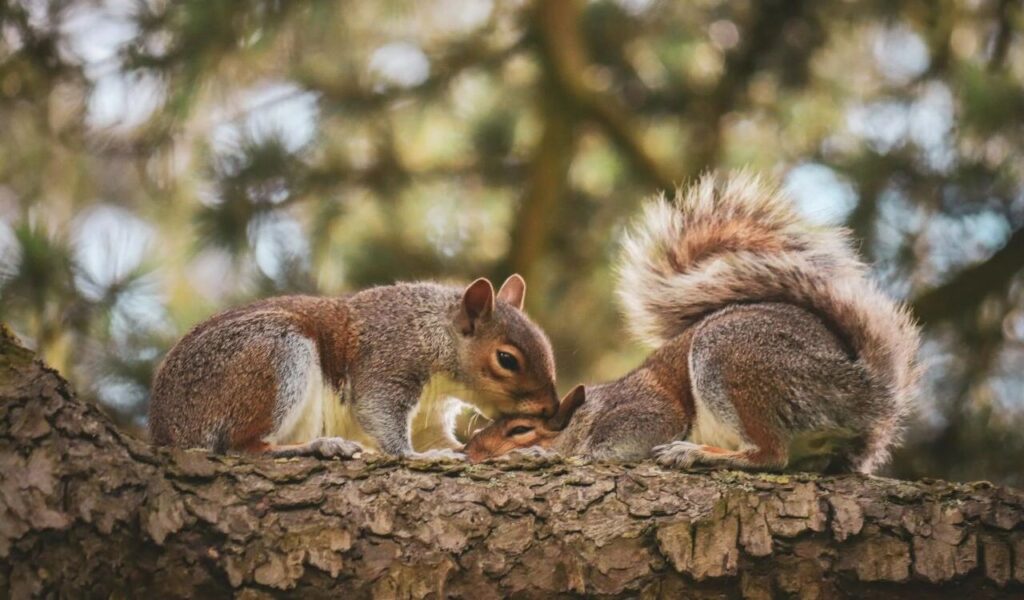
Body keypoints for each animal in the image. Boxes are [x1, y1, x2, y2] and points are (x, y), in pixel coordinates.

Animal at [149, 275, 559, 458]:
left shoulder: (430, 415)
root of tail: (167, 429)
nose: (552, 411)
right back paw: (318, 446)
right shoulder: (388, 360)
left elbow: (450, 442)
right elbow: (378, 412)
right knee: (241, 447)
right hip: (276, 354)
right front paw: (417, 456)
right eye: (507, 359)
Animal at [464, 172, 921, 474]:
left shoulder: (646, 413)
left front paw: (542, 455)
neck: (588, 412)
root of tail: (865, 392)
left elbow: (605, 447)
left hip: (733, 360)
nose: (470, 452)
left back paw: (694, 453)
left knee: (770, 455)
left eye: (520, 429)